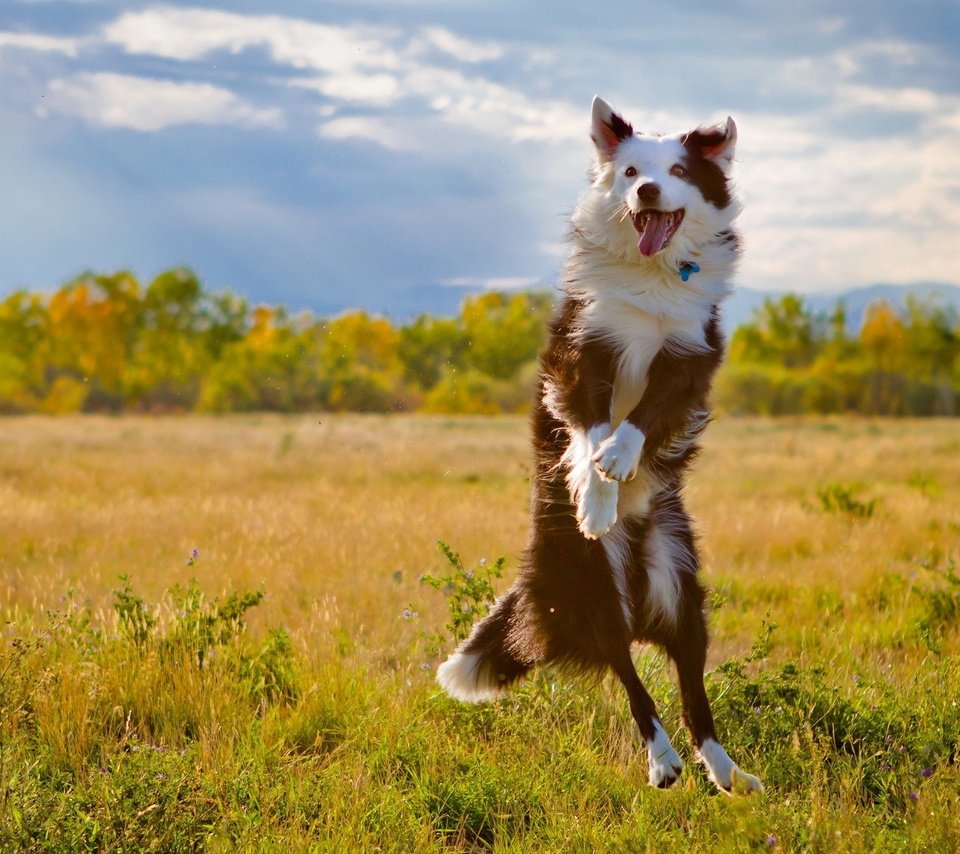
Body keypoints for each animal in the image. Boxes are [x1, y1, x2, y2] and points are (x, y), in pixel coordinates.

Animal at [438, 95, 760, 796]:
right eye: (631, 169)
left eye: (678, 170)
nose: (646, 190)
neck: (652, 275)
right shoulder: (582, 352)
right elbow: (588, 432)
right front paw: (595, 494)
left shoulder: (687, 357)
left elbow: (642, 418)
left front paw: (620, 460)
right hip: (592, 582)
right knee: (628, 671)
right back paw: (662, 760)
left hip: (679, 582)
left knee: (691, 686)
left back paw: (725, 770)